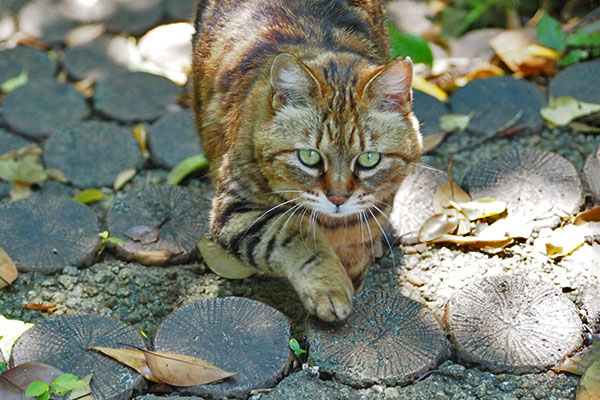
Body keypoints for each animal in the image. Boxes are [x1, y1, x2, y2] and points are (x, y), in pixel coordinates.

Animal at [192, 0, 422, 320]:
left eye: (369, 159)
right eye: (309, 156)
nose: (338, 198)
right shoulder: (234, 209)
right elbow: (293, 235)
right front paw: (329, 285)